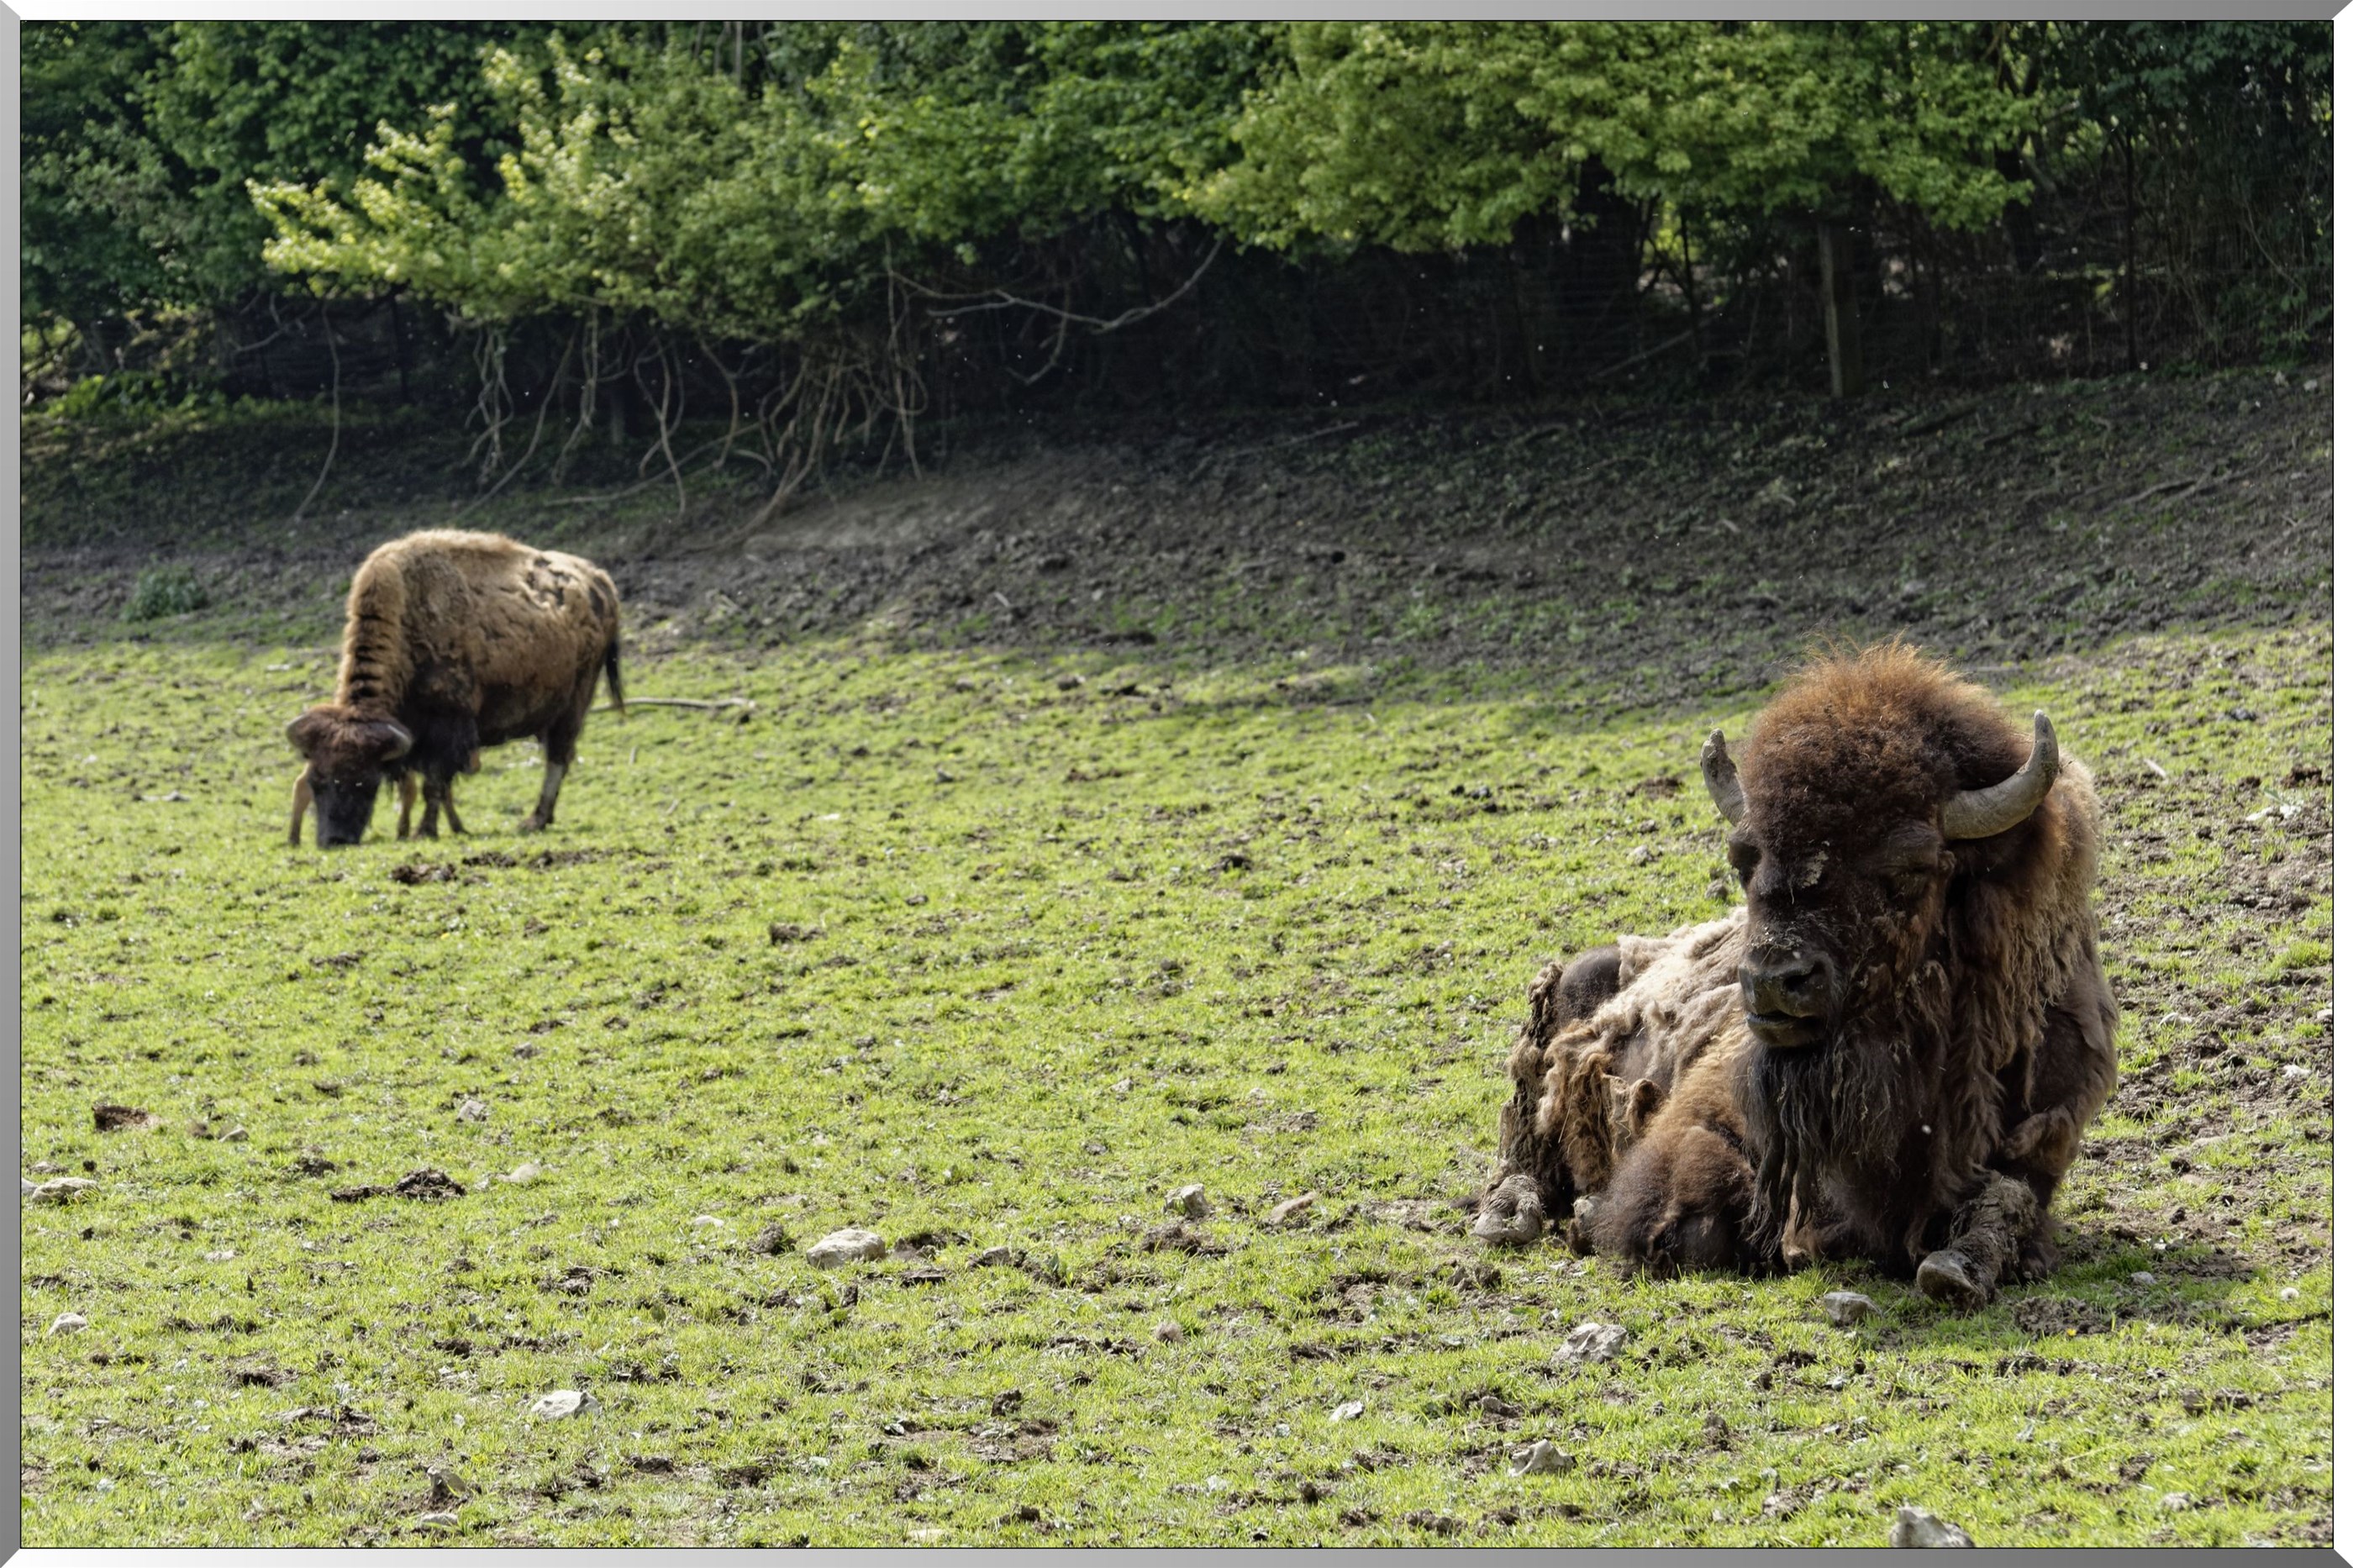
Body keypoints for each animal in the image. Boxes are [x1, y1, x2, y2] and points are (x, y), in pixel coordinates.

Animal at [286, 530, 624, 848]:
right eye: (317, 780)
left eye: (366, 782)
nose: (335, 839)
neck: (408, 620)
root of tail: (600, 580)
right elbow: (436, 786)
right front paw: (451, 827)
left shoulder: (446, 729)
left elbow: (433, 784)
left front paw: (424, 831)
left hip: (575, 703)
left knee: (557, 758)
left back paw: (534, 820)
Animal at [1475, 643, 2117, 1309]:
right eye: (1744, 859)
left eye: (1909, 868)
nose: (1772, 981)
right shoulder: (1702, 1119)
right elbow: (1695, 1217)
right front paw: (1593, 1218)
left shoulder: (2040, 1140)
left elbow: (2005, 1203)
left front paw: (1955, 1269)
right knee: (1521, 1159)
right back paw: (1510, 1218)